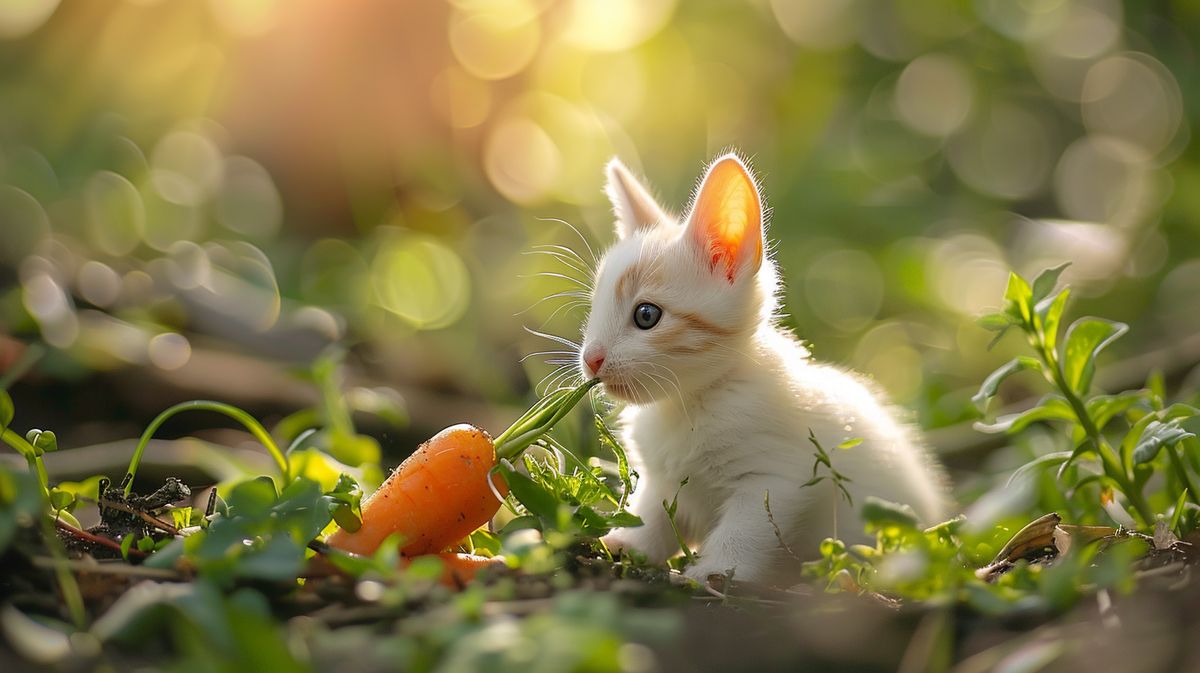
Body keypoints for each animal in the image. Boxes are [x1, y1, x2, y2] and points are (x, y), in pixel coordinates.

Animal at [576, 151, 950, 583]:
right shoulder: (663, 479)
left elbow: (746, 529)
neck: (691, 401)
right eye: (595, 309)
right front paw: (628, 545)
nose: (591, 358)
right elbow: (654, 514)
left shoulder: (775, 476)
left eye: (646, 315)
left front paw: (714, 572)